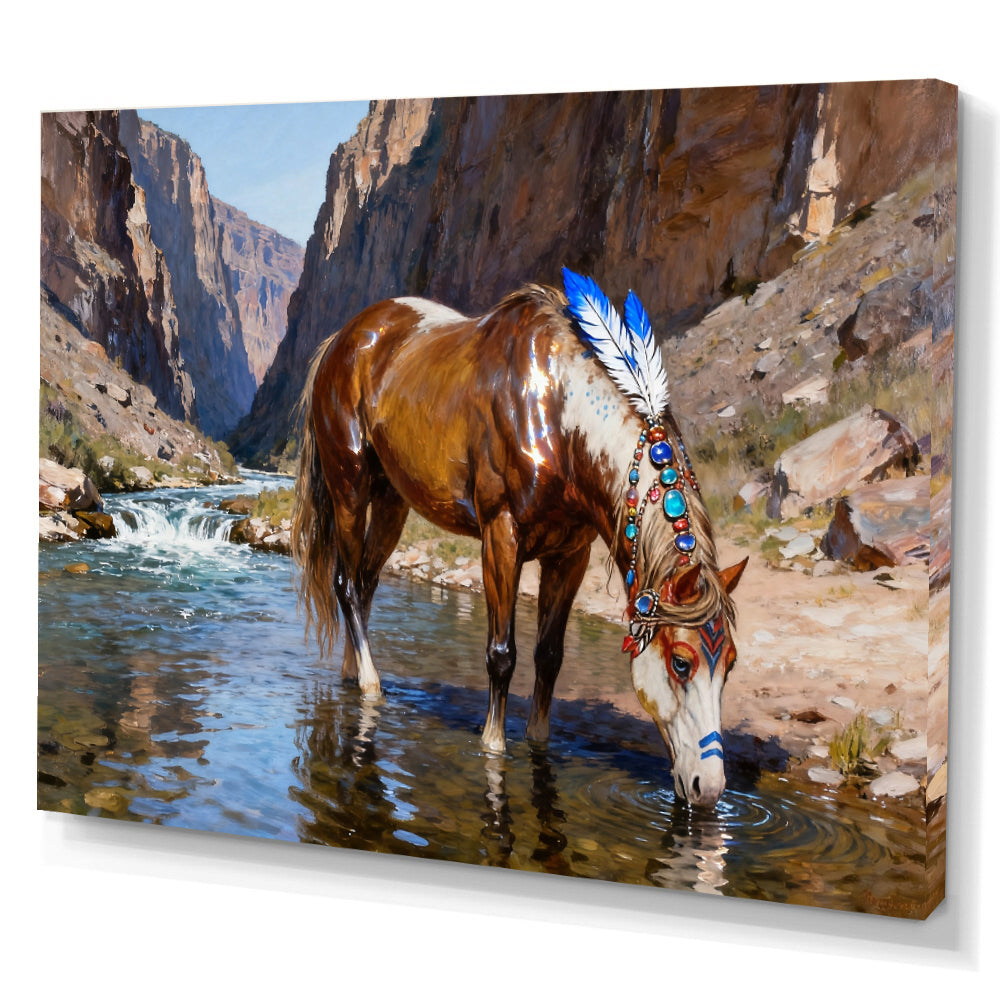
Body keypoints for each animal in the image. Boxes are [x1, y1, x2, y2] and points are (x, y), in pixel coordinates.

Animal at [291, 271, 748, 808]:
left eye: (731, 664)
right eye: (681, 662)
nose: (708, 788)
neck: (559, 416)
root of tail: (343, 340)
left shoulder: (570, 555)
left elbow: (548, 656)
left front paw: (538, 742)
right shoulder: (501, 537)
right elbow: (502, 654)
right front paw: (493, 745)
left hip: (391, 502)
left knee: (363, 586)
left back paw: (351, 673)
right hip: (350, 488)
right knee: (345, 585)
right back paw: (369, 684)